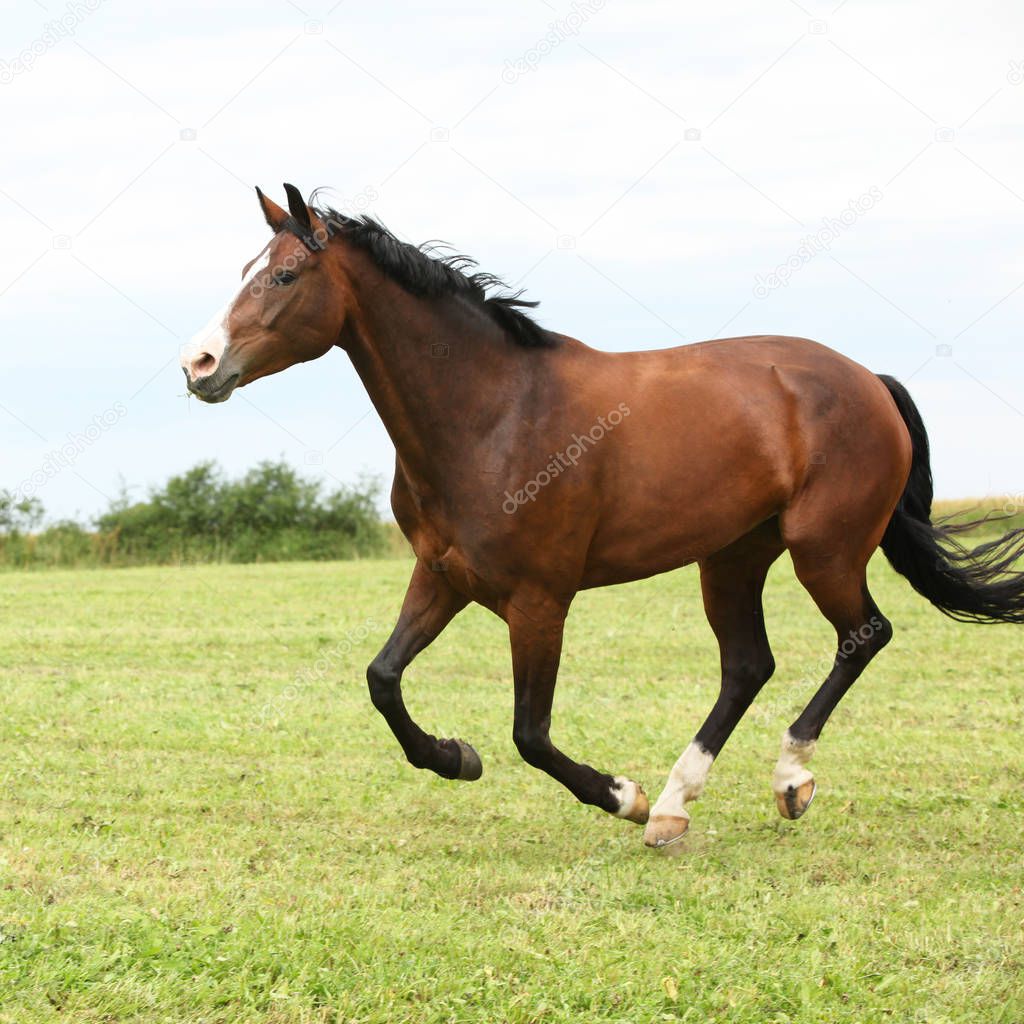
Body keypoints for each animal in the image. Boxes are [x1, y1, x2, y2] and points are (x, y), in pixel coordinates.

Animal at [180, 184, 1019, 847]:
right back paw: (676, 807)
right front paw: (455, 757)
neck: (496, 415)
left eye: (285, 274)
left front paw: (621, 795)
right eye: (246, 272)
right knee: (748, 665)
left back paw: (781, 782)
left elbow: (530, 733)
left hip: (825, 550)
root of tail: (870, 380)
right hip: (733, 557)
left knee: (862, 636)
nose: (199, 365)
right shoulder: (443, 576)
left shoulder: (539, 601)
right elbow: (383, 678)